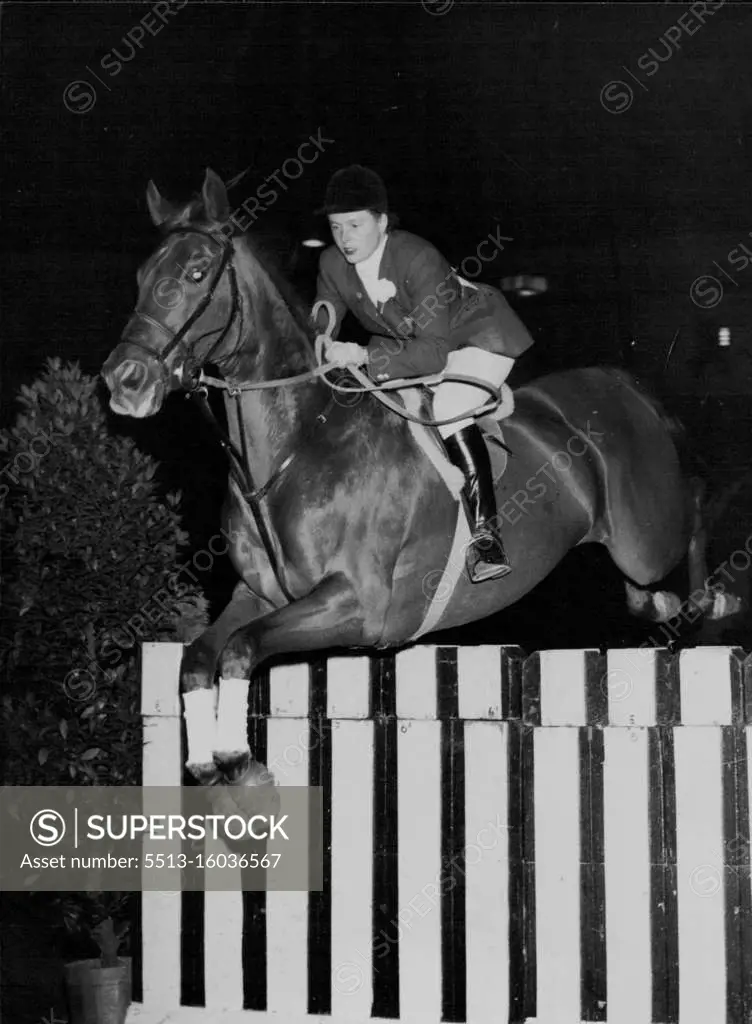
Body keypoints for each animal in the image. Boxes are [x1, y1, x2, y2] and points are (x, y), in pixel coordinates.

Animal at [102, 172, 717, 786]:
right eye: (140, 276)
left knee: (692, 509)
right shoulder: (261, 594)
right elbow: (198, 659)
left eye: (196, 272)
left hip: (644, 538)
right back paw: (656, 605)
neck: (296, 445)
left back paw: (706, 599)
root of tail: (621, 384)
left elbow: (239, 649)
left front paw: (238, 759)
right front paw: (207, 762)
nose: (123, 380)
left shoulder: (357, 605)